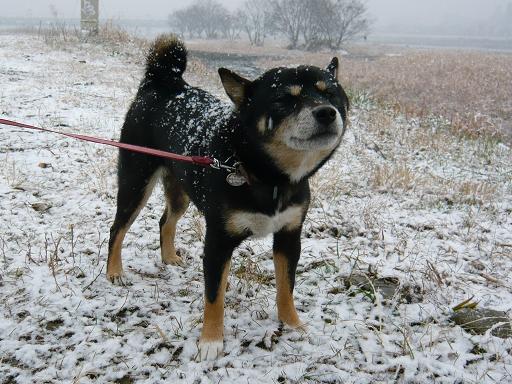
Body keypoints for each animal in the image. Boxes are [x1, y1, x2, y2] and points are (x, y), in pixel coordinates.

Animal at [106, 35, 350, 360]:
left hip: (180, 191)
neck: (267, 176)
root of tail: (164, 83)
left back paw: (169, 257)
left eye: (331, 93)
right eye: (284, 100)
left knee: (165, 221)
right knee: (117, 228)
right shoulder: (218, 242)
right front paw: (211, 341)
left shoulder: (289, 236)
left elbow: (286, 287)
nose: (326, 112)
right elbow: (214, 296)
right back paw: (114, 272)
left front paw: (292, 324)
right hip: (136, 183)